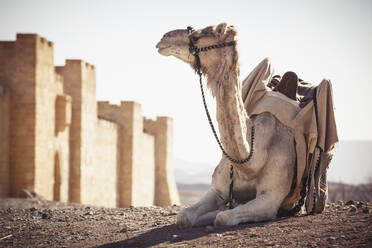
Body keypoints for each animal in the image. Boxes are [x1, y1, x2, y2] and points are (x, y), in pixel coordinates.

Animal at [155, 22, 336, 228]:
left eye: (198, 36)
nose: (163, 38)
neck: (252, 161)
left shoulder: (270, 198)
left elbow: (223, 218)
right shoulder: (217, 190)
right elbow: (185, 216)